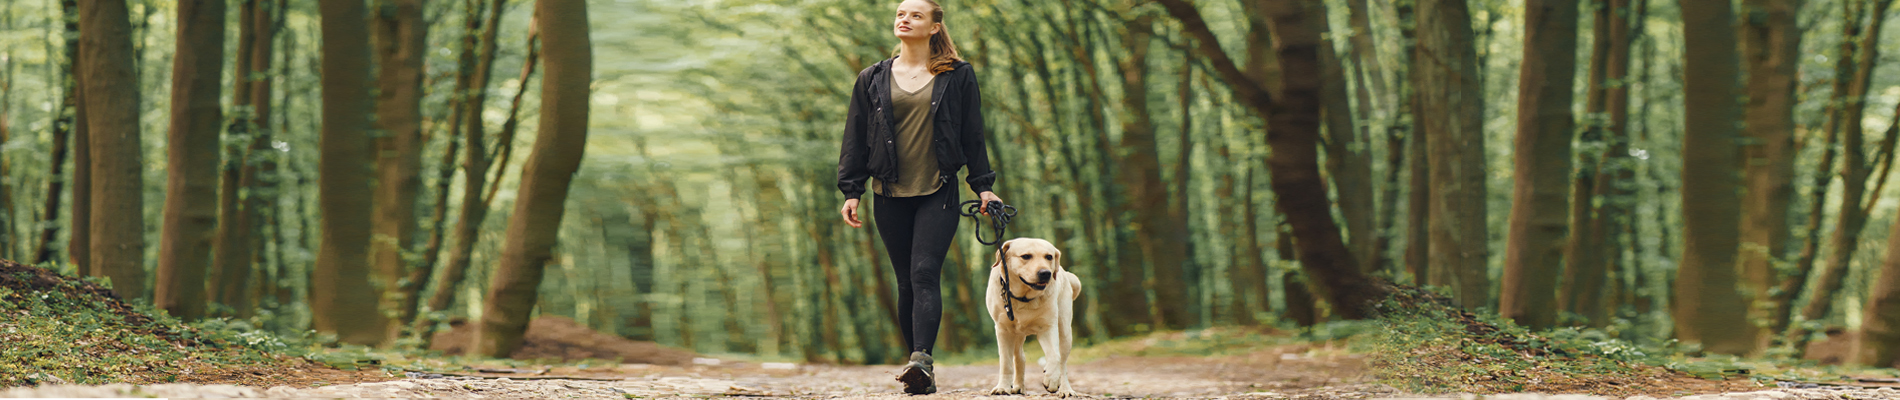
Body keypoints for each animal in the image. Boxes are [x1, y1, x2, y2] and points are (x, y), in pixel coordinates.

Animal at [988, 237, 1079, 396]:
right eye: (1026, 256)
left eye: (1049, 257)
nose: (1045, 273)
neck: (1023, 298)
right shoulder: (1003, 330)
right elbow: (1006, 363)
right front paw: (1003, 387)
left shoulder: (1047, 327)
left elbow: (1055, 356)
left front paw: (1051, 379)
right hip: (1016, 334)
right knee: (1020, 357)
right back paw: (1018, 386)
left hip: (1065, 330)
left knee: (1062, 362)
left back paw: (1066, 389)